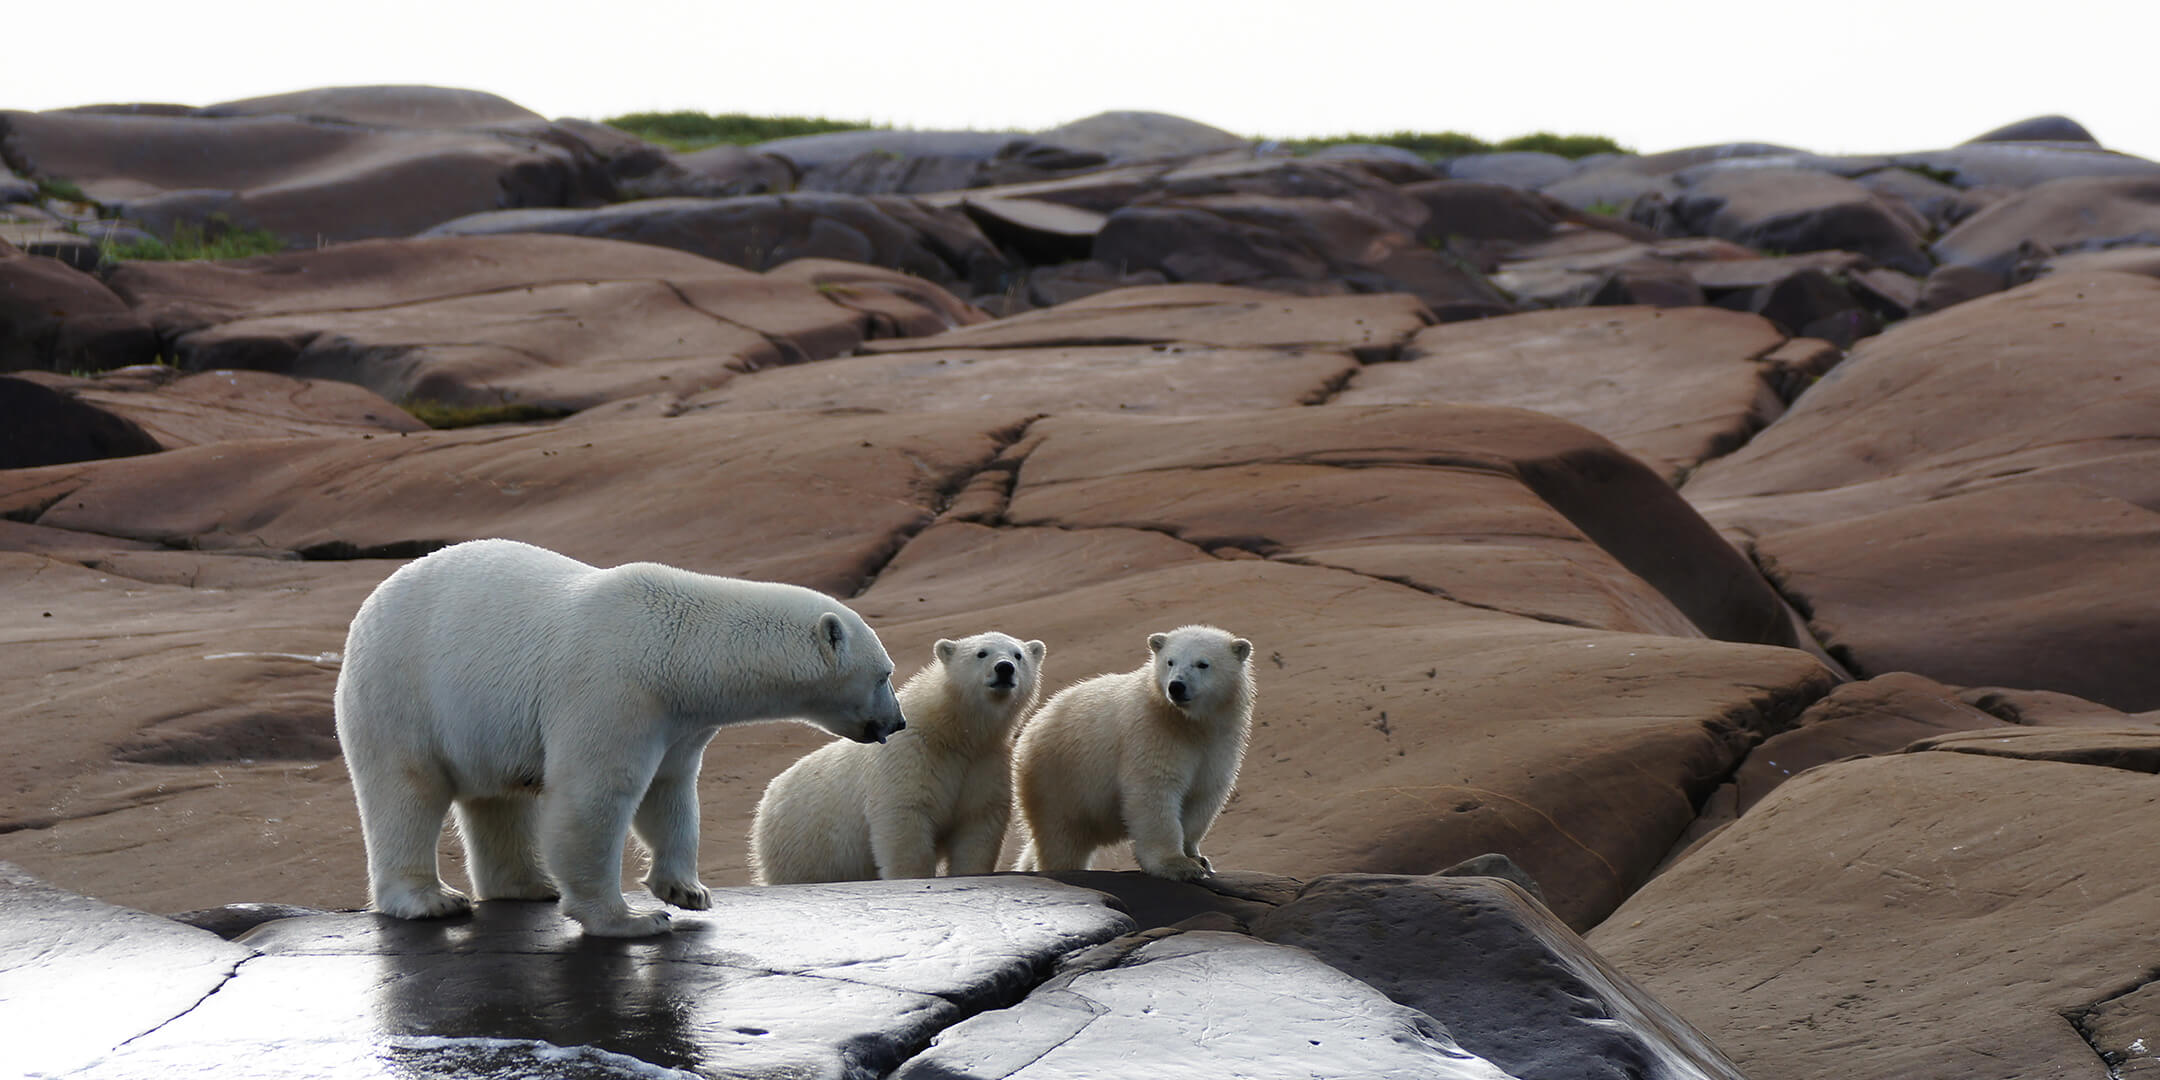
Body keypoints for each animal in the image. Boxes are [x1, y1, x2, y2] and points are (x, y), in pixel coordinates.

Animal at [332, 538, 907, 937]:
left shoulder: (678, 720)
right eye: (884, 674)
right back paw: (430, 899)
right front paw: (631, 920)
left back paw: (529, 886)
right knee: (405, 791)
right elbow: (596, 797)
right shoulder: (613, 689)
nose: (898, 722)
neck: (680, 649)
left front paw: (687, 891)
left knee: (499, 800)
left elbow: (669, 792)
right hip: (401, 691)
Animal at [749, 631, 1047, 884]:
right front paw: (912, 878)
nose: (1004, 668)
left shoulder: (985, 762)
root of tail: (768, 797)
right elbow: (905, 815)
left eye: (1018, 655)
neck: (953, 732)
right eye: (981, 653)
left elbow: (977, 822)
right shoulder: (911, 755)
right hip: (801, 845)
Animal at [1011, 625, 1256, 881]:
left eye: (1202, 663)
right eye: (1170, 661)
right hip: (1057, 783)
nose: (1176, 686)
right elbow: (1154, 793)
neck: (1189, 724)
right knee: (1061, 839)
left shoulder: (1219, 743)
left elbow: (1203, 795)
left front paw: (1198, 858)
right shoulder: (1152, 733)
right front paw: (1178, 865)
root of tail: (1029, 728)